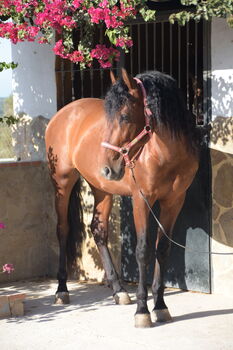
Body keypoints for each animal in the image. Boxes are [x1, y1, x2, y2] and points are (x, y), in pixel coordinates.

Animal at [45, 69, 200, 328]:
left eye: (125, 116)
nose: (108, 167)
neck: (165, 154)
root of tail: (62, 113)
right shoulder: (141, 200)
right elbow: (142, 251)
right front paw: (142, 311)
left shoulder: (174, 201)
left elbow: (162, 249)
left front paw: (160, 306)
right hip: (62, 183)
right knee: (62, 229)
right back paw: (61, 290)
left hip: (102, 189)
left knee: (98, 230)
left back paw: (118, 290)